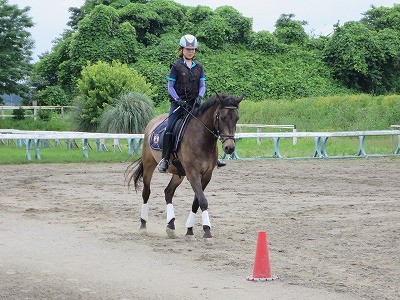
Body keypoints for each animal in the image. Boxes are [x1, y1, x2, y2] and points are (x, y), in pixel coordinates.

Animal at [126, 94, 242, 241]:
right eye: (221, 117)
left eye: (236, 118)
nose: (229, 147)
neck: (202, 138)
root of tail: (152, 122)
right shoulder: (193, 173)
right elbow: (203, 200)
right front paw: (207, 230)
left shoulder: (206, 175)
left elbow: (196, 201)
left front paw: (190, 230)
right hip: (149, 165)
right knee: (146, 192)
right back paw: (143, 225)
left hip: (178, 173)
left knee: (168, 192)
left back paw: (170, 225)